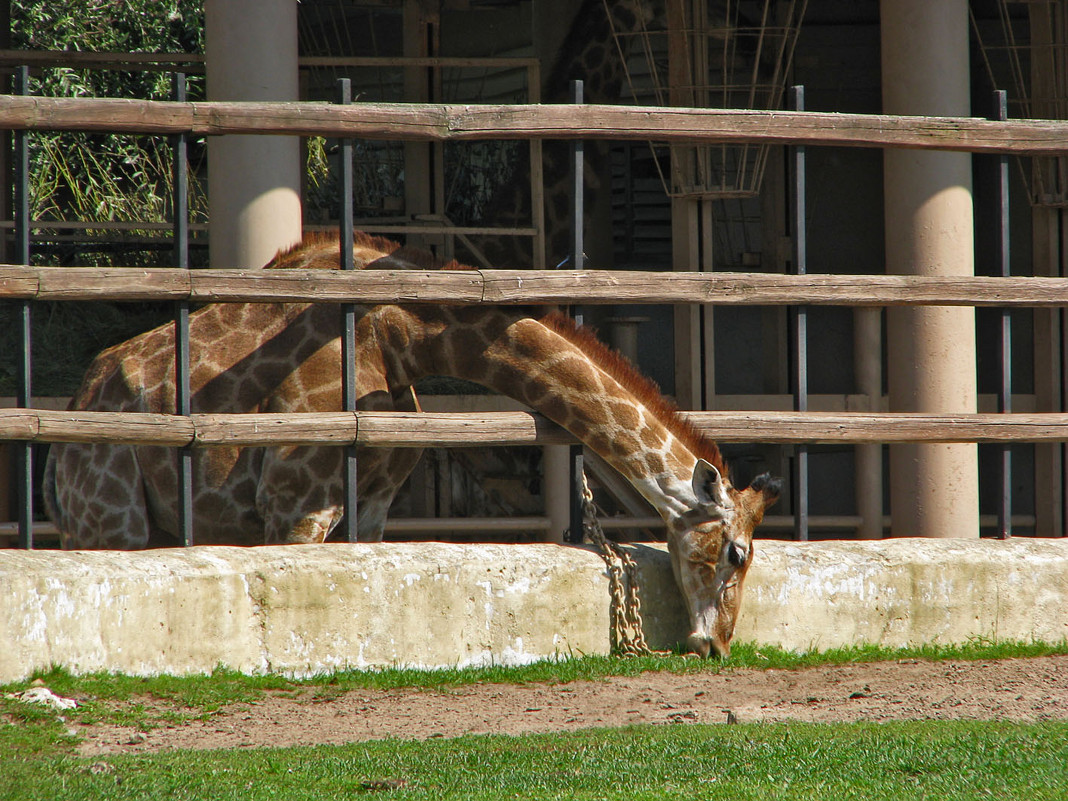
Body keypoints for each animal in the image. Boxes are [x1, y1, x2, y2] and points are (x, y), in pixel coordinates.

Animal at [43, 231, 777, 657]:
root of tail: (71, 417)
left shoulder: (370, 502)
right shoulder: (293, 503)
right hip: (111, 517)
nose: (716, 645)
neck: (402, 336)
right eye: (736, 553)